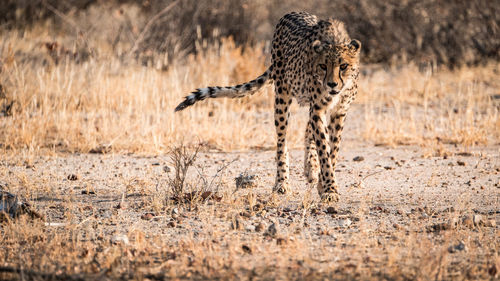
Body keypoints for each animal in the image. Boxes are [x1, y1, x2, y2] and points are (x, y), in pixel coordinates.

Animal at [175, 12, 360, 200]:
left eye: (343, 66)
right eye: (323, 66)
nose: (332, 84)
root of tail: (290, 13)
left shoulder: (339, 111)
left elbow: (332, 150)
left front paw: (325, 184)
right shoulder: (318, 107)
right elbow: (324, 149)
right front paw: (329, 189)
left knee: (307, 129)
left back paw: (311, 169)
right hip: (282, 96)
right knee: (281, 142)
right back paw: (282, 183)